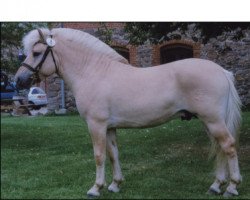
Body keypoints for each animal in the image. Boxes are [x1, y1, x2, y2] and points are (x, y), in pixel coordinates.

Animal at [14, 27, 242, 197]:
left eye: (36, 53)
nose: (18, 80)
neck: (93, 72)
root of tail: (222, 71)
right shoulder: (109, 127)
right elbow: (113, 154)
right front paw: (115, 184)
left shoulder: (96, 125)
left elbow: (99, 155)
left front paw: (95, 188)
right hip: (208, 122)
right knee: (219, 148)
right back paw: (216, 186)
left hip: (213, 121)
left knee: (229, 146)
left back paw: (231, 187)